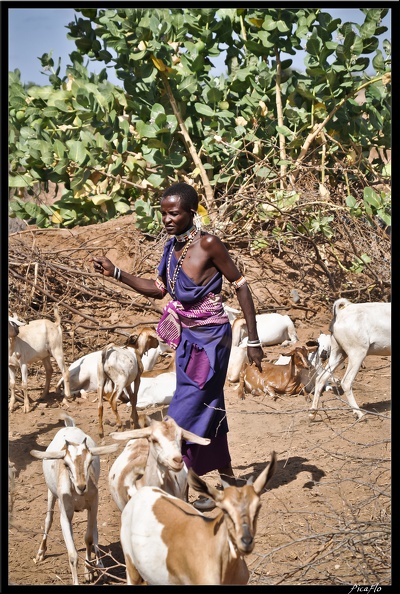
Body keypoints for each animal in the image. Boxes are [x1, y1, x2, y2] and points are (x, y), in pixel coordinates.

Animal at [29, 412, 118, 584]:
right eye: (66, 464)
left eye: (90, 461)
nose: (82, 486)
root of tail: (69, 426)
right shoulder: (65, 514)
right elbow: (72, 554)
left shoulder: (93, 505)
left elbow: (89, 538)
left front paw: (89, 570)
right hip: (51, 493)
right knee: (48, 519)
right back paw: (40, 553)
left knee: (94, 529)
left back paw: (100, 565)